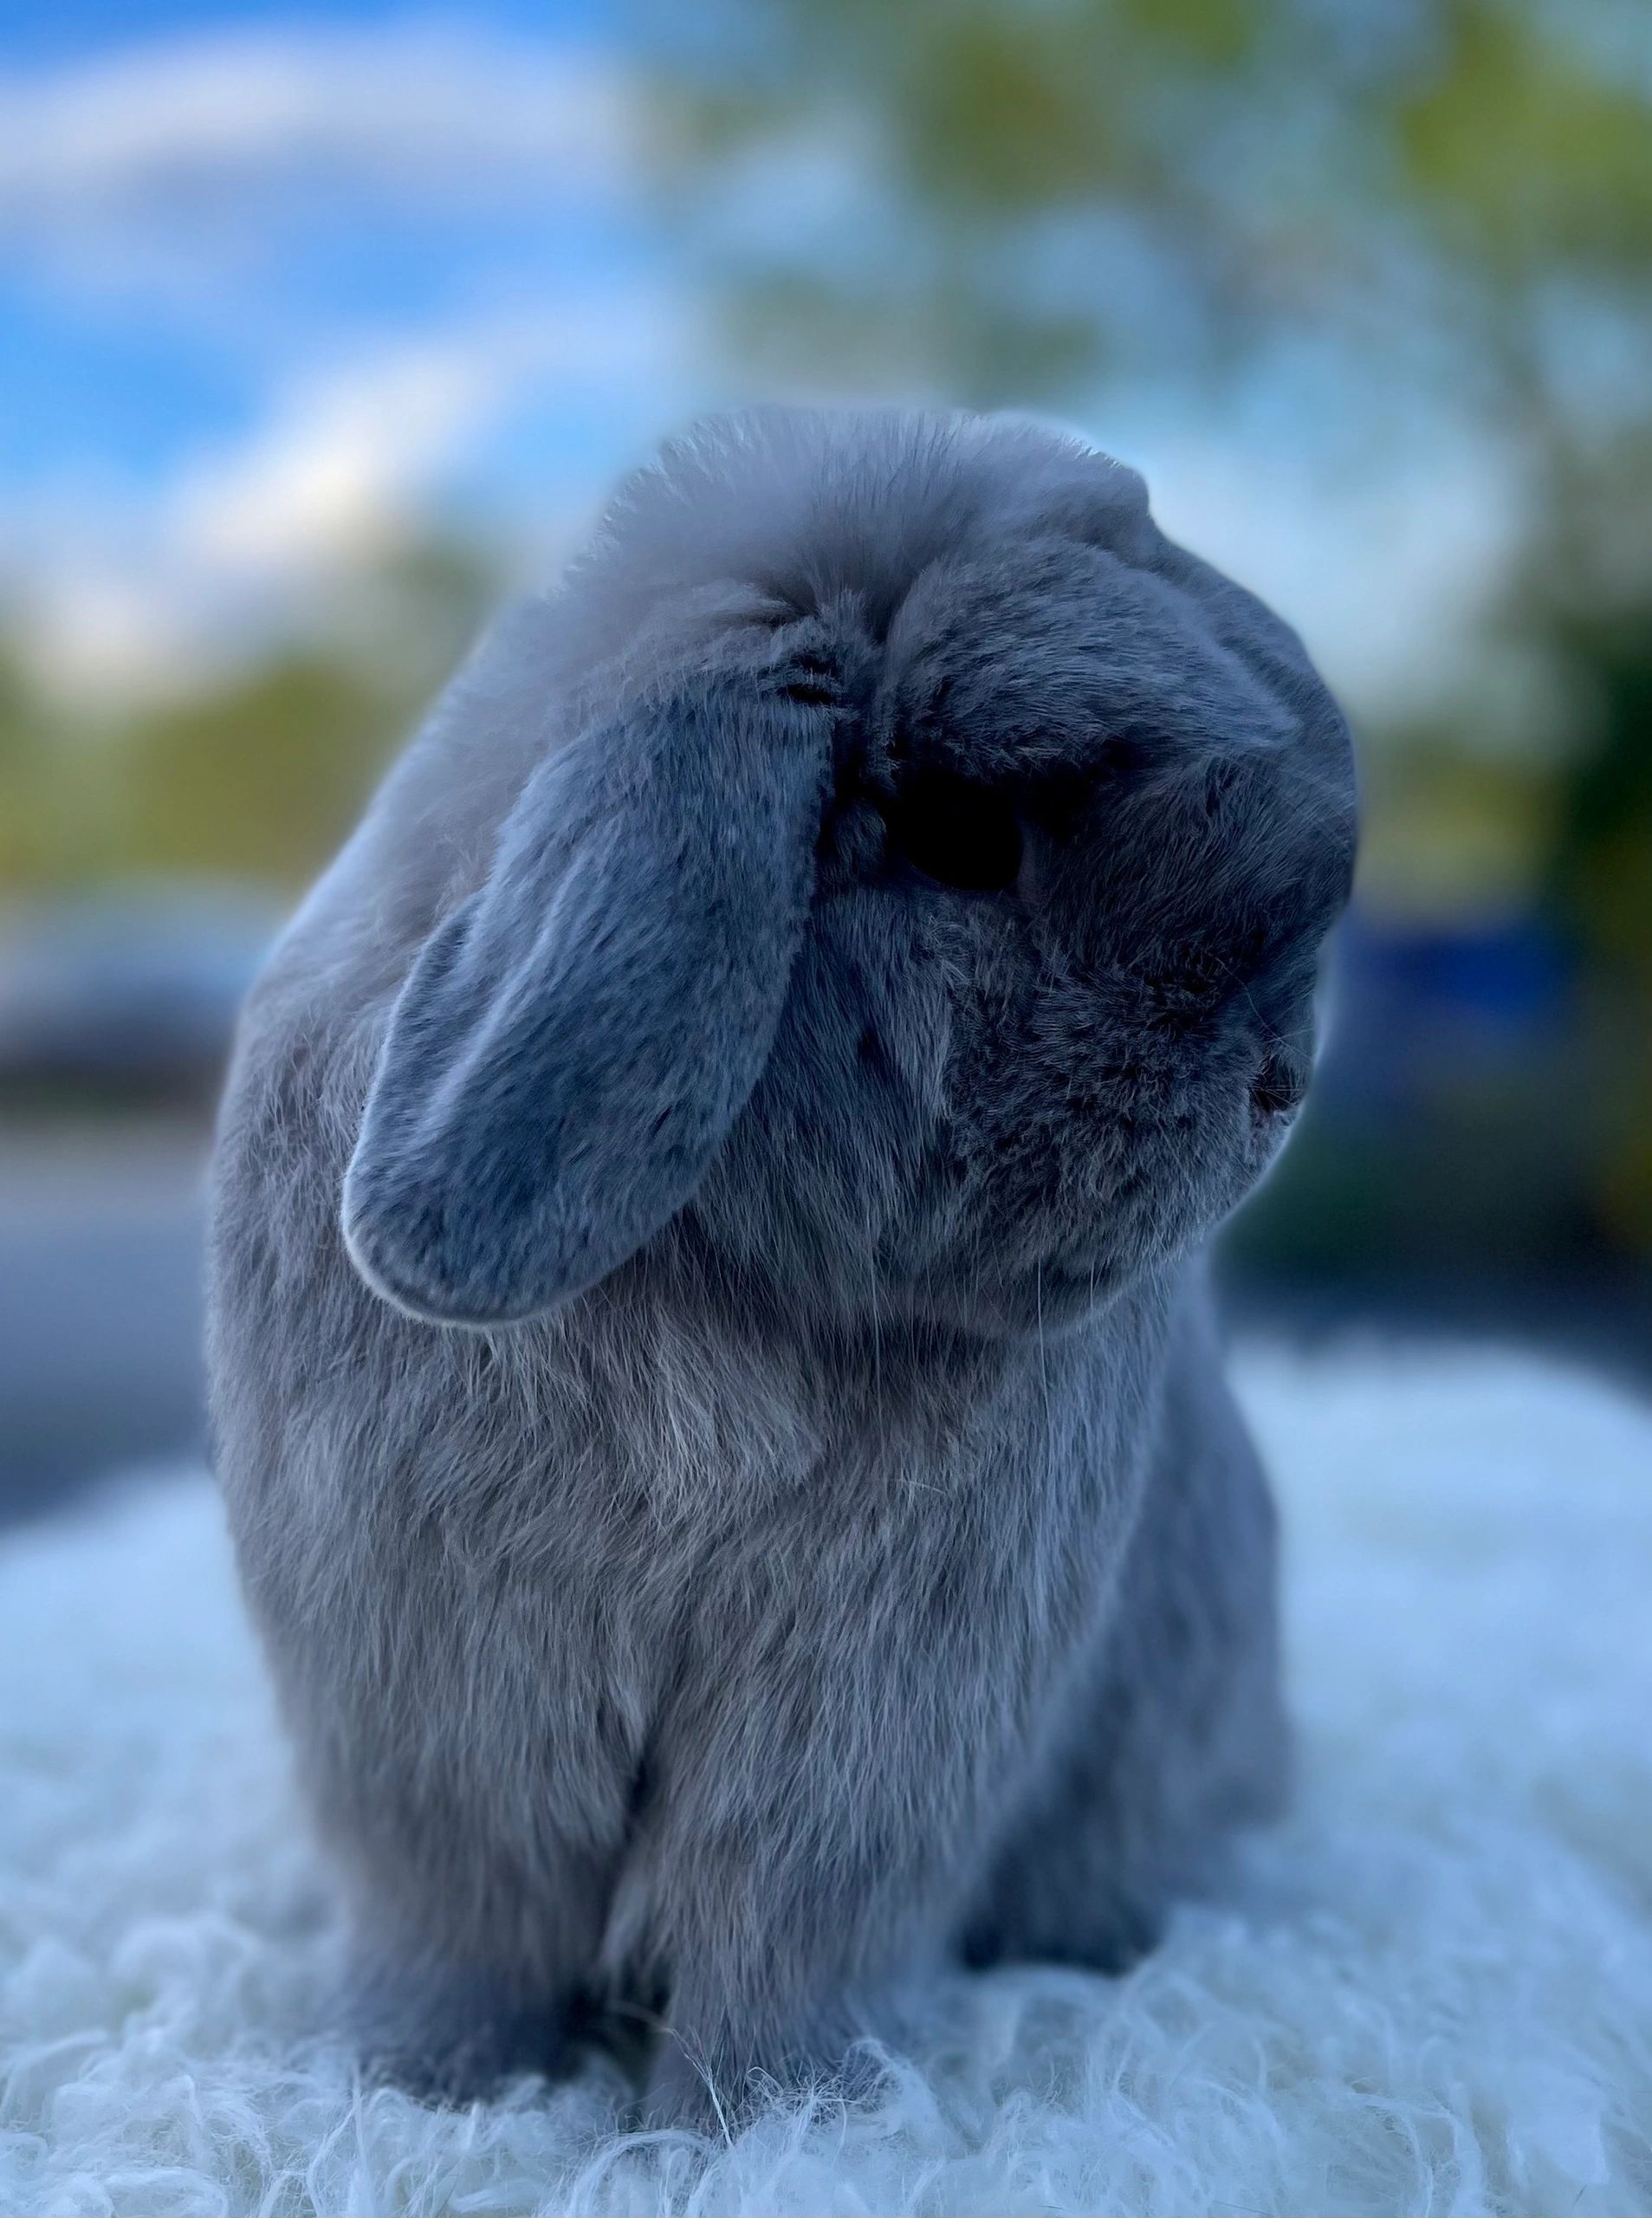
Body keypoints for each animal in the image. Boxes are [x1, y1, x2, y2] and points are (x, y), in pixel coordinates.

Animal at [206, 405, 1356, 2126]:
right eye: (960, 838)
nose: (1279, 1082)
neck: (722, 1273)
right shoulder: (430, 1700)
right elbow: (462, 1922)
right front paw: (419, 2092)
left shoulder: (864, 1728)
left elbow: (776, 1932)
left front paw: (762, 2130)